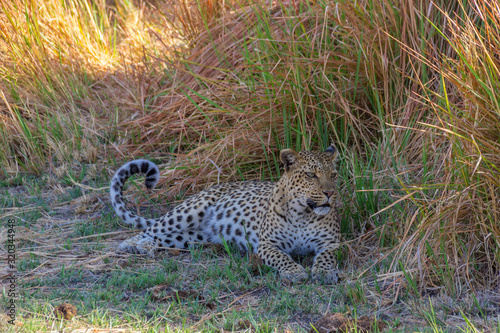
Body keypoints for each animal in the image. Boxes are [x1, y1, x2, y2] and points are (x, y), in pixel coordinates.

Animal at [110, 145, 342, 282]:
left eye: (333, 174)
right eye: (311, 175)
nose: (330, 193)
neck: (304, 213)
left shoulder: (331, 243)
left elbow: (327, 257)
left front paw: (324, 272)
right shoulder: (268, 245)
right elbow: (281, 257)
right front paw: (295, 271)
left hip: (194, 236)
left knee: (166, 238)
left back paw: (147, 246)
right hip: (188, 211)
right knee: (150, 229)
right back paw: (132, 245)